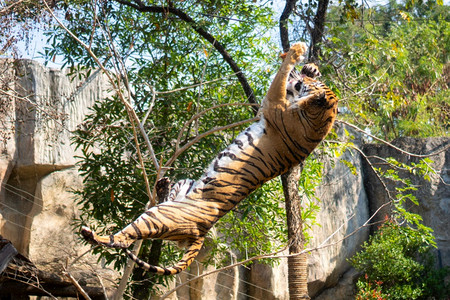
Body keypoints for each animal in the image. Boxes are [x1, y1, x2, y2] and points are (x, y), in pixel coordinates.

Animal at [82, 41, 340, 274]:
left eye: (306, 84)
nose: (303, 72)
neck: (316, 121)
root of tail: (202, 233)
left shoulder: (273, 103)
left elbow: (281, 75)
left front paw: (296, 52)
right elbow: (283, 77)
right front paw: (308, 64)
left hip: (158, 217)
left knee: (123, 239)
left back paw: (93, 234)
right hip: (183, 187)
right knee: (165, 199)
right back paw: (162, 185)